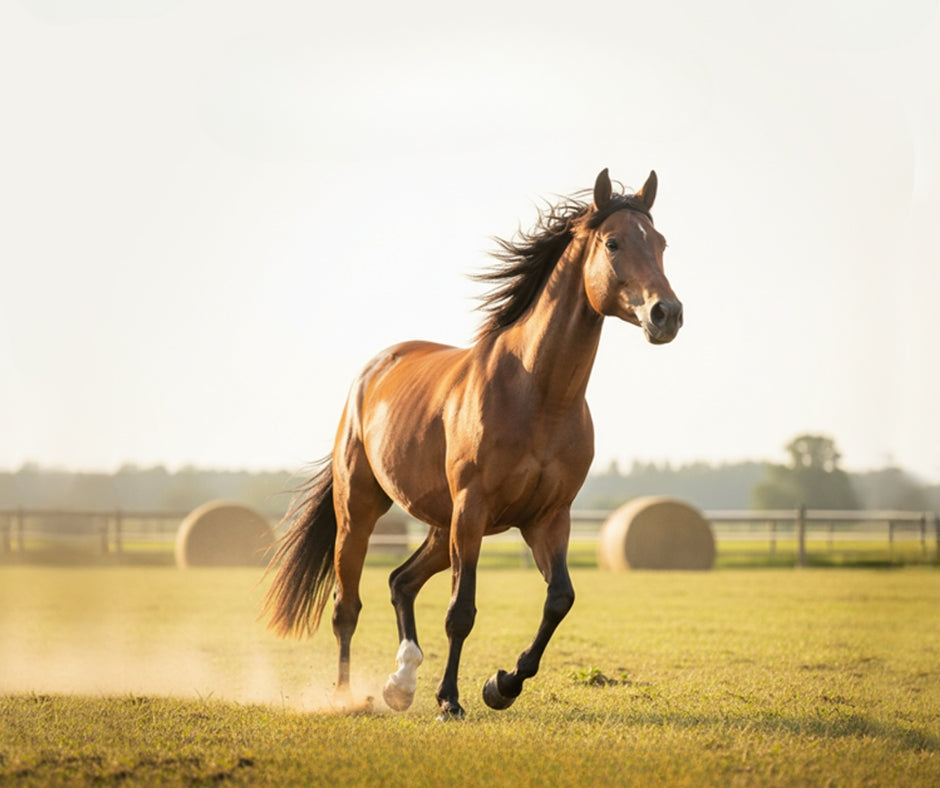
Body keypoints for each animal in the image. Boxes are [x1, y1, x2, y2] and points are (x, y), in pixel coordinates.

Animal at [263, 168, 683, 718]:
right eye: (613, 243)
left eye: (661, 243)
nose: (666, 314)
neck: (537, 394)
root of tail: (373, 371)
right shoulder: (474, 507)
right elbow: (460, 611)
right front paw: (451, 699)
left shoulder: (549, 518)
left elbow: (559, 599)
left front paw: (501, 685)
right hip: (365, 511)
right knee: (346, 606)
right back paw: (347, 696)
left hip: (445, 528)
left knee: (400, 581)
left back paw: (401, 683)